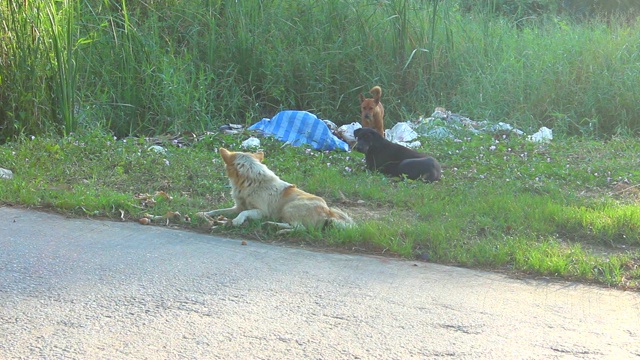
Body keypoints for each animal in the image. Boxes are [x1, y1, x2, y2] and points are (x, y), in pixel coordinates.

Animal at [196, 148, 352, 232]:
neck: (251, 181)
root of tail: (329, 212)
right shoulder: (237, 207)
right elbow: (217, 210)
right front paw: (204, 213)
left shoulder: (261, 211)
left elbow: (244, 213)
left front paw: (237, 221)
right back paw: (271, 225)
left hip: (289, 208)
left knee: (299, 228)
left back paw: (275, 227)